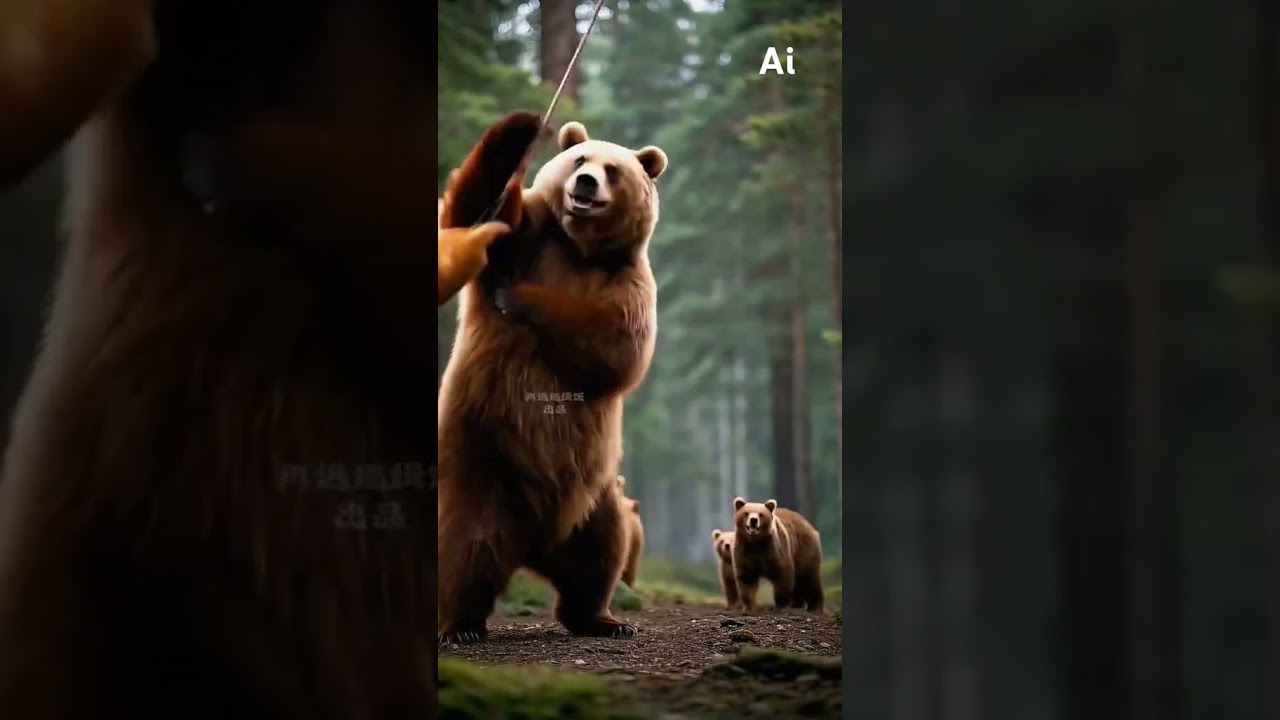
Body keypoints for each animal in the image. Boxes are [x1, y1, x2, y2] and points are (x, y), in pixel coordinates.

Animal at [437, 116, 667, 645]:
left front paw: (520, 297)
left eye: (613, 170)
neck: (579, 248)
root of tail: (533, 546)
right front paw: (517, 135)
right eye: (580, 159)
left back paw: (604, 619)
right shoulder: (530, 238)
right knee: (463, 549)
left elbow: (618, 345)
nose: (584, 184)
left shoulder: (627, 278)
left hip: (594, 492)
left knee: (601, 551)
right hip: (483, 463)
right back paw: (460, 625)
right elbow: (469, 221)